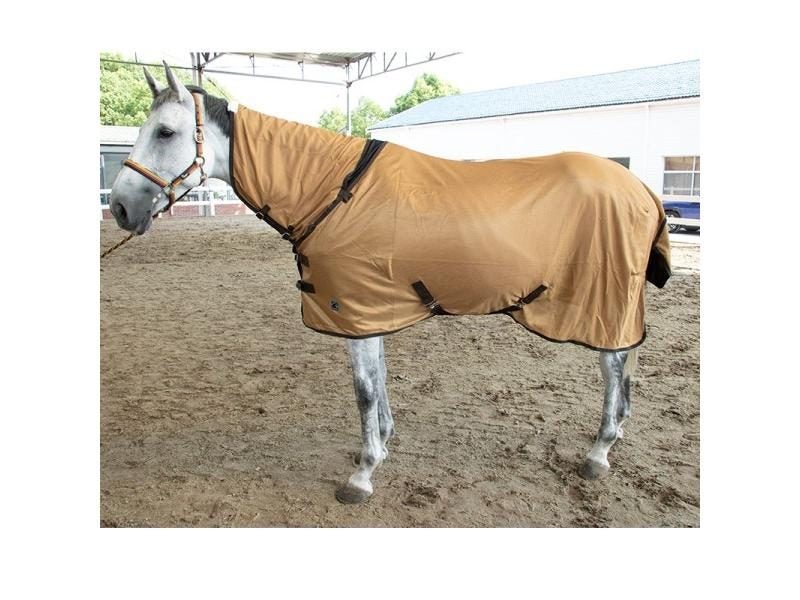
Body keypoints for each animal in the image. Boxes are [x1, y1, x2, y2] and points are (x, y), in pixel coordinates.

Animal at [108, 62, 671, 505]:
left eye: (165, 132)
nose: (120, 208)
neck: (334, 190)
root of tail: (639, 187)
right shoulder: (369, 310)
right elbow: (377, 385)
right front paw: (381, 445)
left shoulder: (353, 309)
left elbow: (363, 391)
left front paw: (362, 474)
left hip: (603, 308)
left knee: (614, 372)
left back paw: (599, 451)